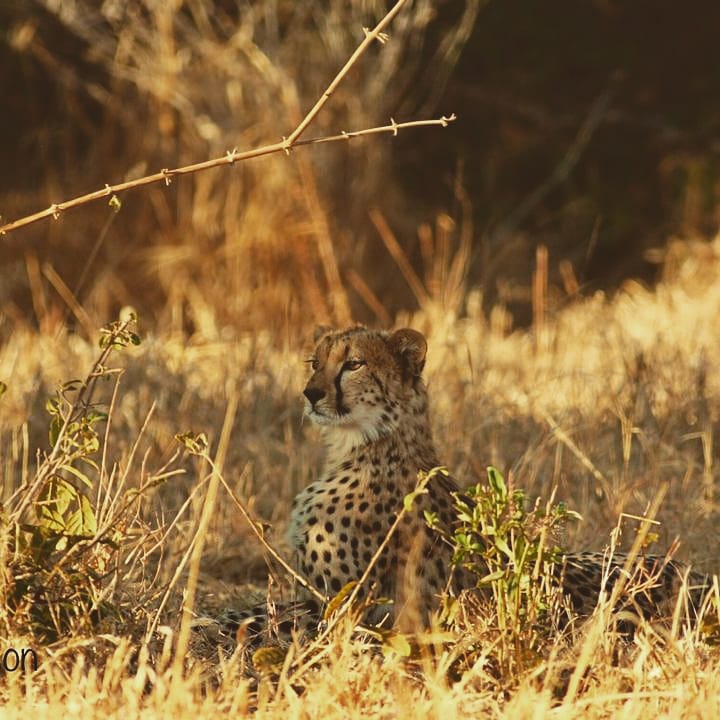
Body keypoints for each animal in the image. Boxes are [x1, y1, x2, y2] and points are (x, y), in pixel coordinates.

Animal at [205, 325, 712, 647]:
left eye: (353, 364)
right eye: (315, 362)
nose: (310, 394)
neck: (370, 442)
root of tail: (700, 577)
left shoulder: (347, 608)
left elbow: (254, 617)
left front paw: (201, 622)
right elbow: (254, 609)